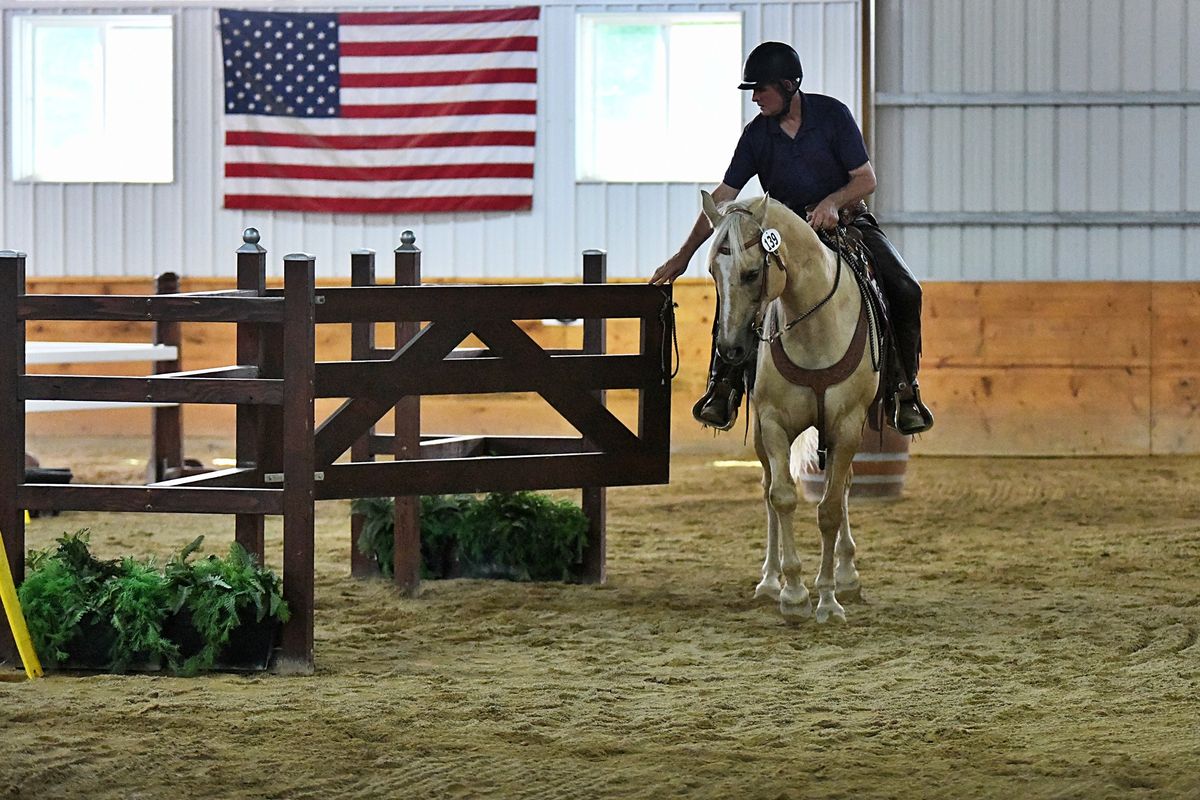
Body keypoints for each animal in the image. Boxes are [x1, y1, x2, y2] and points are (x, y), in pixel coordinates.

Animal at [700, 191, 883, 623]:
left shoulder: (847, 426)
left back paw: (847, 575)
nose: (731, 349)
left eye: (752, 273)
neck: (814, 328)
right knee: (768, 489)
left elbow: (829, 509)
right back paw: (770, 581)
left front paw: (829, 599)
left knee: (842, 488)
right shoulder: (773, 425)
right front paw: (795, 593)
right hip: (763, 438)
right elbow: (782, 496)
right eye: (713, 272)